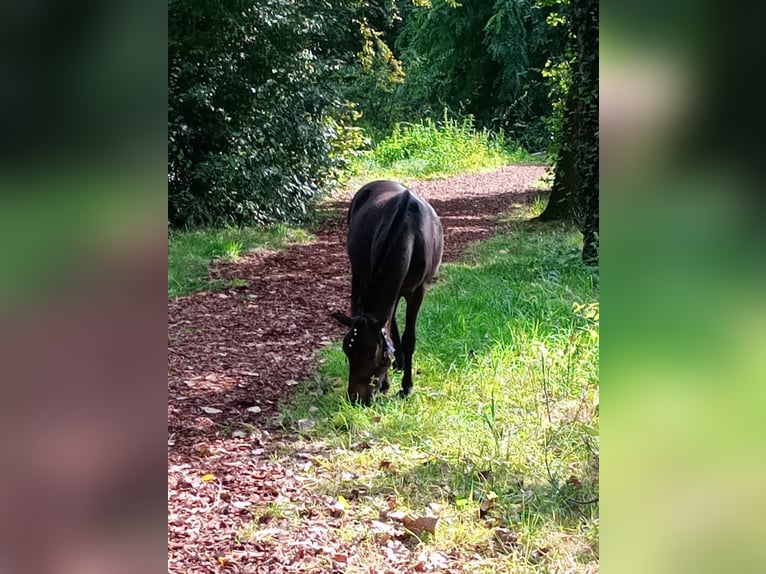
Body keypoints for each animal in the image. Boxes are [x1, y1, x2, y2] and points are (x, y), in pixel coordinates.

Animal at [330, 180, 444, 404]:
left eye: (373, 354)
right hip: (359, 274)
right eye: (347, 350)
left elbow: (409, 338)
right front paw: (385, 384)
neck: (408, 234)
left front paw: (406, 387)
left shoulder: (417, 291)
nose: (356, 398)